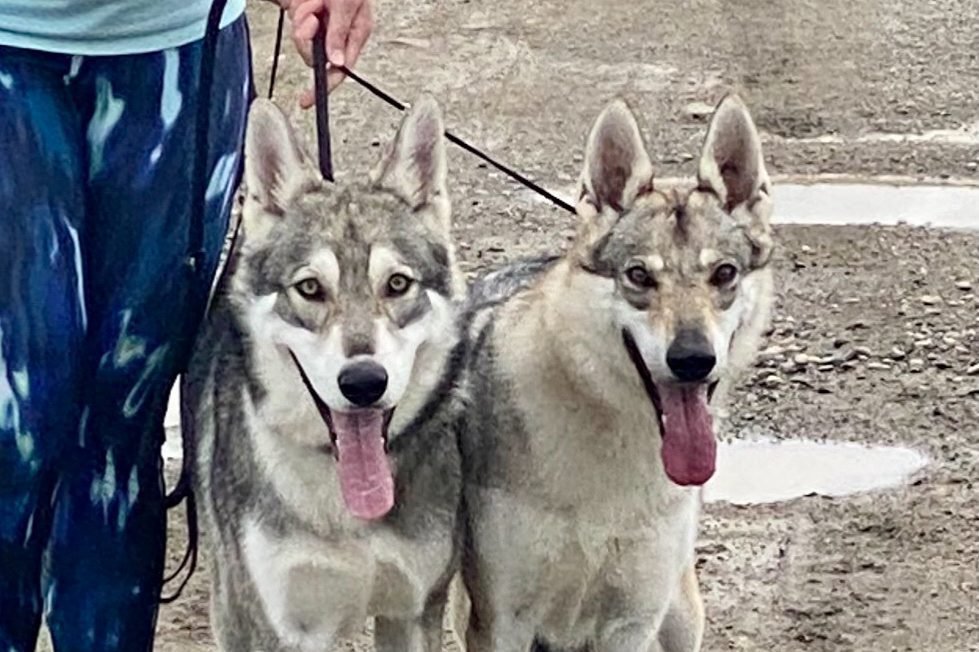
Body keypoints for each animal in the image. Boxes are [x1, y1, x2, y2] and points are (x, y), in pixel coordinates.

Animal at [183, 95, 467, 652]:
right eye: (310, 288)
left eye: (397, 284)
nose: (363, 382)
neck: (345, 510)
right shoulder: (274, 627)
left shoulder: (413, 610)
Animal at [458, 94, 775, 652]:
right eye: (639, 276)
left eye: (724, 274)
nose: (692, 358)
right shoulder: (501, 622)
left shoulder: (632, 622)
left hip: (680, 615)